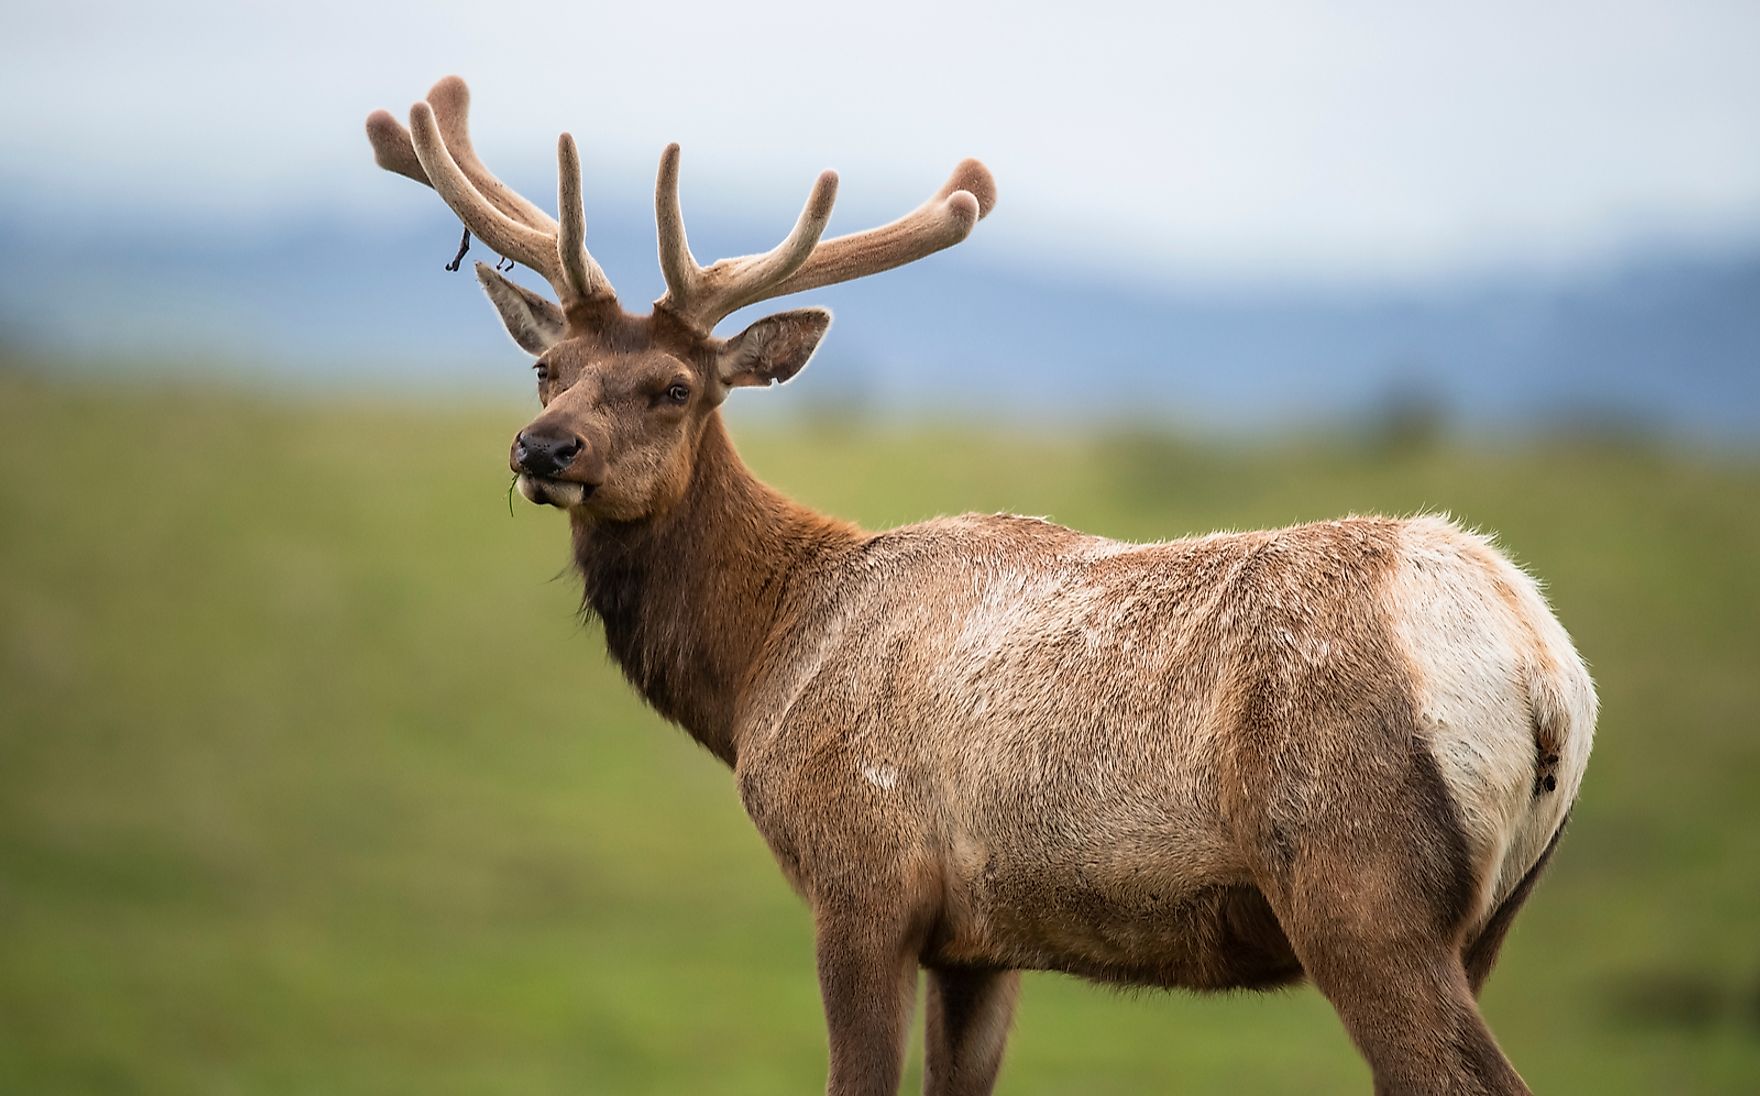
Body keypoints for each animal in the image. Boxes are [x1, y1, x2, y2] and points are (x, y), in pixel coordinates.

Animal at [367, 73, 1598, 1090]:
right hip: (1485, 921)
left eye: (673, 387)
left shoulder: (862, 880)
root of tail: (1544, 675)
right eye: (548, 368)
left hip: (1357, 884)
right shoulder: (982, 941)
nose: (541, 449)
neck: (765, 661)